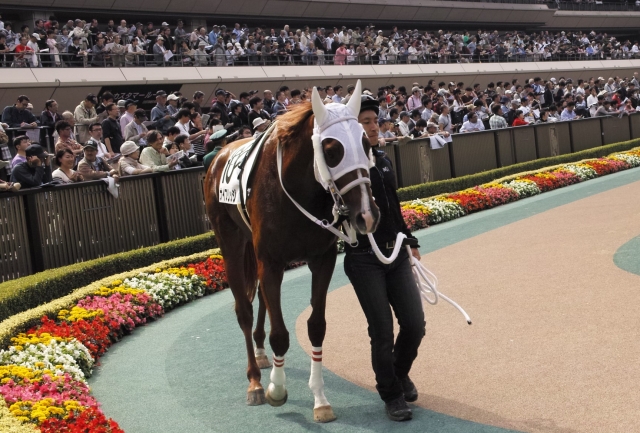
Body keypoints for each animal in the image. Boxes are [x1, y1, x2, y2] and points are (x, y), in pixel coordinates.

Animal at [204, 80, 380, 422]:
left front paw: (321, 399)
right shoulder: (270, 260)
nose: (367, 215)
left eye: (365, 142)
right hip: (230, 241)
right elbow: (280, 333)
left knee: (259, 298)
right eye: (332, 150)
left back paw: (261, 353)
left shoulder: (322, 259)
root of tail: (221, 155)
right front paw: (276, 388)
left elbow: (316, 326)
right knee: (244, 309)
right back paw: (255, 381)